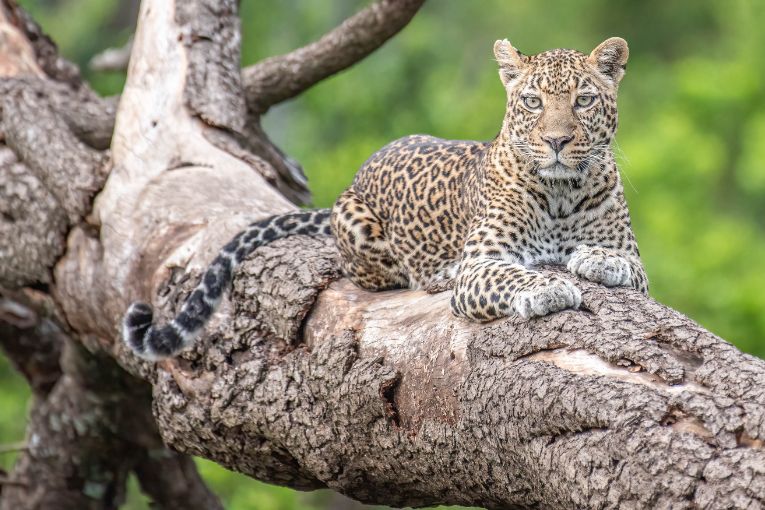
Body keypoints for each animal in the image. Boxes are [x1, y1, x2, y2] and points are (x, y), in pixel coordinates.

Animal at [124, 36, 644, 362]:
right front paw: (548, 288)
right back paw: (437, 274)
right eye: (533, 102)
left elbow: (621, 262)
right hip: (359, 228)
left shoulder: (636, 262)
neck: (560, 193)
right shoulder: (482, 262)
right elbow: (509, 274)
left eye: (583, 100)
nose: (556, 141)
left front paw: (594, 260)